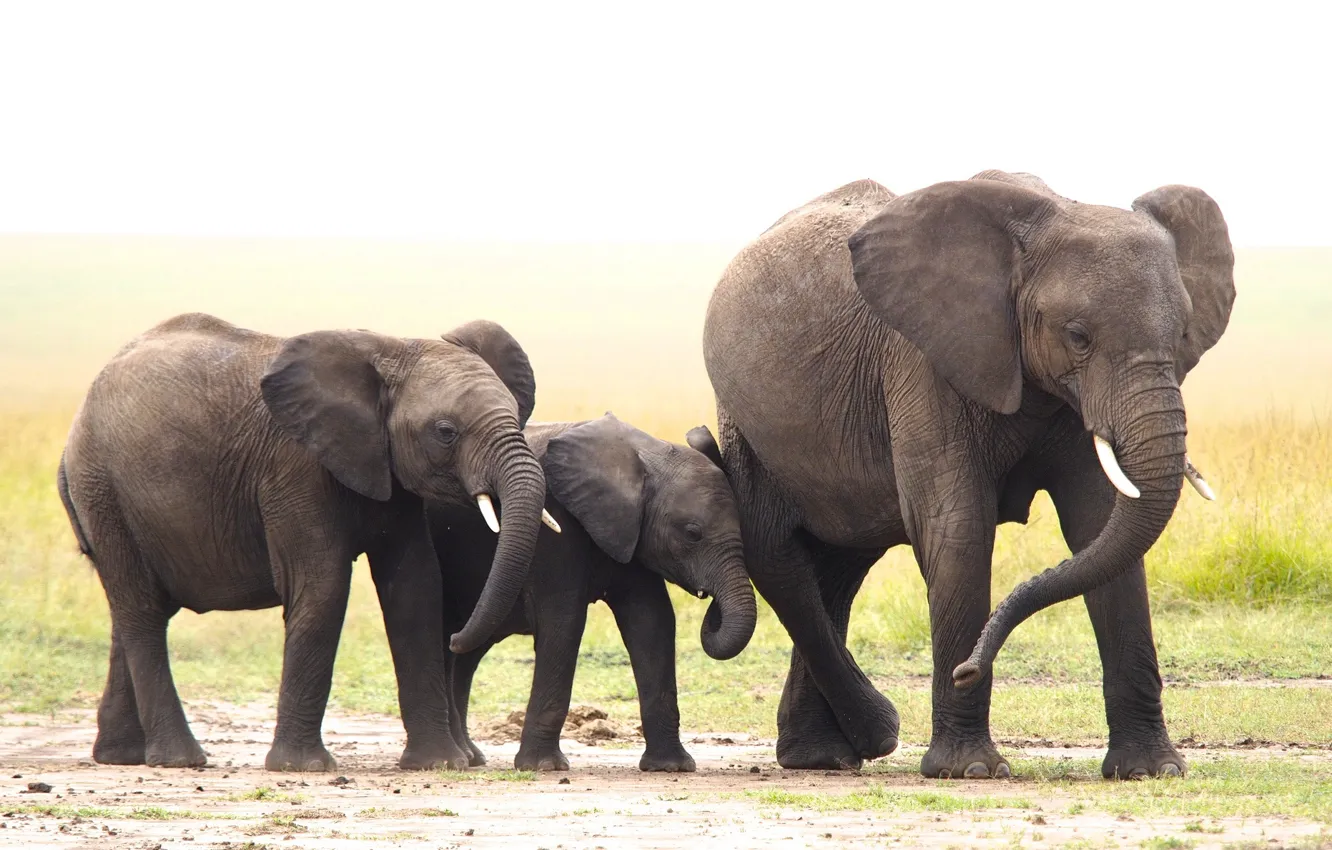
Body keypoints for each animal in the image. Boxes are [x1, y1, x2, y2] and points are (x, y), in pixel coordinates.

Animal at [57, 311, 556, 772]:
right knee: (142, 613)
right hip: (104, 491)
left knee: (130, 612)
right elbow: (322, 588)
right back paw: (181, 760)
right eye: (446, 432)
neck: (392, 348)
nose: (456, 638)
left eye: (517, 417)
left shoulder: (391, 475)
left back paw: (121, 757)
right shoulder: (295, 467)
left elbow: (415, 590)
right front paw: (302, 767)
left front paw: (438, 764)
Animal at [429, 413, 757, 773]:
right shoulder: (553, 523)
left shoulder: (630, 529)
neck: (644, 456)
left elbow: (652, 621)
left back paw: (470, 756)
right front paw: (544, 767)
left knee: (466, 654)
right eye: (692, 533)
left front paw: (671, 767)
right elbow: (564, 619)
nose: (710, 604)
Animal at [701, 172, 1234, 780]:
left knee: (839, 566)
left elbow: (1099, 527)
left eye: (1183, 335)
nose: (966, 669)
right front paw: (969, 770)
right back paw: (862, 741)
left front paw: (1151, 770)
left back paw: (825, 756)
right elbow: (957, 528)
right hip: (745, 421)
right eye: (1078, 336)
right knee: (778, 552)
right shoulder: (923, 362)